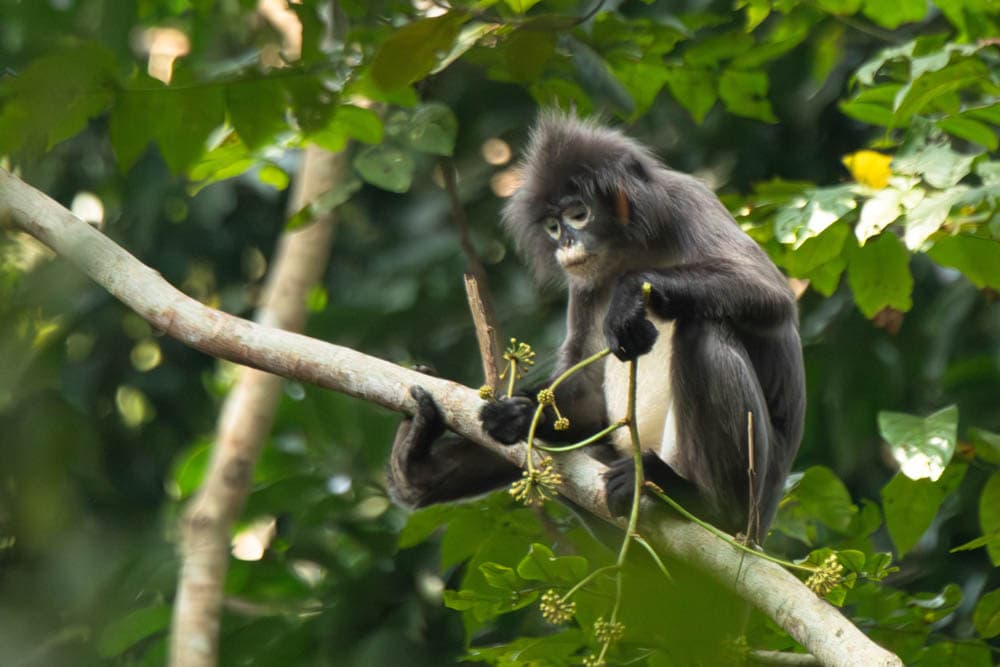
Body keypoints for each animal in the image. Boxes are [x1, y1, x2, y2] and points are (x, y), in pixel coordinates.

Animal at [388, 113, 805, 541]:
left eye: (578, 214)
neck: (633, 250)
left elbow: (769, 291)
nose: (566, 244)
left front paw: (630, 294)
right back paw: (415, 465)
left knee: (702, 330)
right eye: (552, 227)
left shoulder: (688, 200)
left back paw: (703, 501)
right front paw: (519, 415)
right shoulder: (585, 284)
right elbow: (586, 395)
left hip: (751, 498)